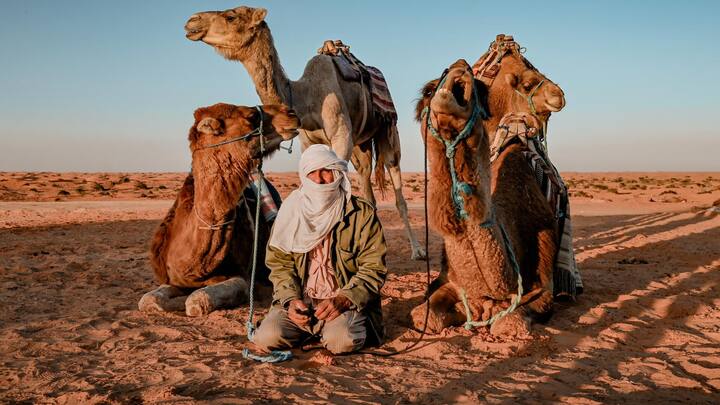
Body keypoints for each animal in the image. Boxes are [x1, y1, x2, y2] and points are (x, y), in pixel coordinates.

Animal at [139, 103, 299, 317]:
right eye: (252, 115)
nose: (291, 113)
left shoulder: (242, 277)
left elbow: (198, 300)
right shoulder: (174, 279)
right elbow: (148, 300)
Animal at [184, 5, 426, 260]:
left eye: (231, 16)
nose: (192, 20)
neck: (305, 98)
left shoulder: (341, 136)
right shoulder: (308, 142)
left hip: (388, 131)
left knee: (396, 184)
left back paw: (417, 250)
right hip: (361, 145)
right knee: (367, 184)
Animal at [409, 60, 557, 336]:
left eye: (480, 90)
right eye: (427, 91)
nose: (459, 68)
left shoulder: (544, 283)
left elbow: (510, 322)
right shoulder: (451, 280)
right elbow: (424, 315)